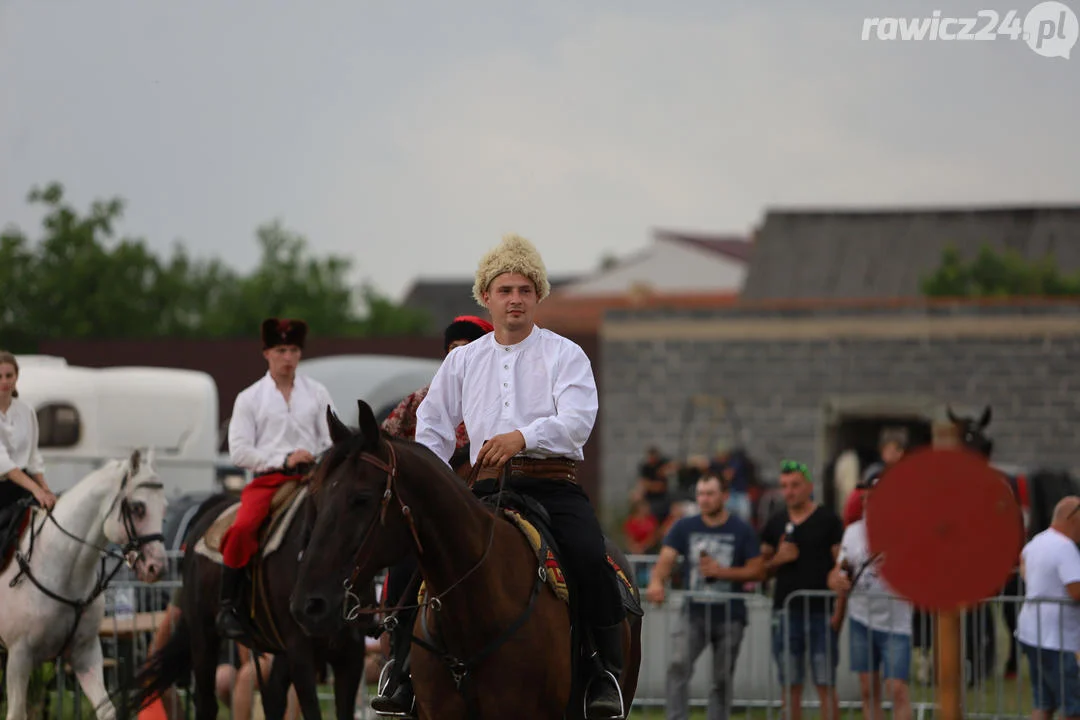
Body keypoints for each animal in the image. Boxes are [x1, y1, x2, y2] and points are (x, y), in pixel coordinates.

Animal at [0, 446, 166, 716]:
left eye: (164, 509)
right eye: (138, 507)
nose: (157, 567)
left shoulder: (86, 654)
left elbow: (106, 708)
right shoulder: (19, 657)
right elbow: (16, 713)